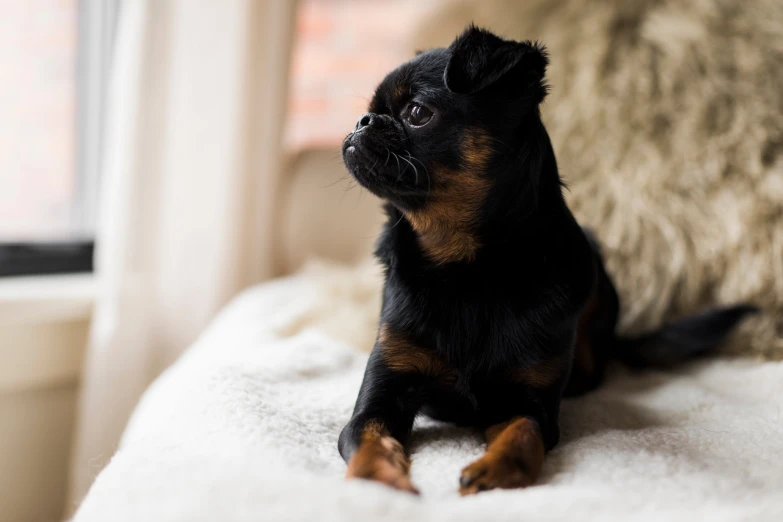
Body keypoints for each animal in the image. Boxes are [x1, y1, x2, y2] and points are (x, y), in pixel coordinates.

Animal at [336, 25, 760, 496]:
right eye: (370, 113)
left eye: (416, 113)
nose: (363, 122)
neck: (467, 267)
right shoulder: (380, 400)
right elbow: (368, 440)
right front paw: (381, 482)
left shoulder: (528, 404)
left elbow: (524, 434)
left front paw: (496, 468)